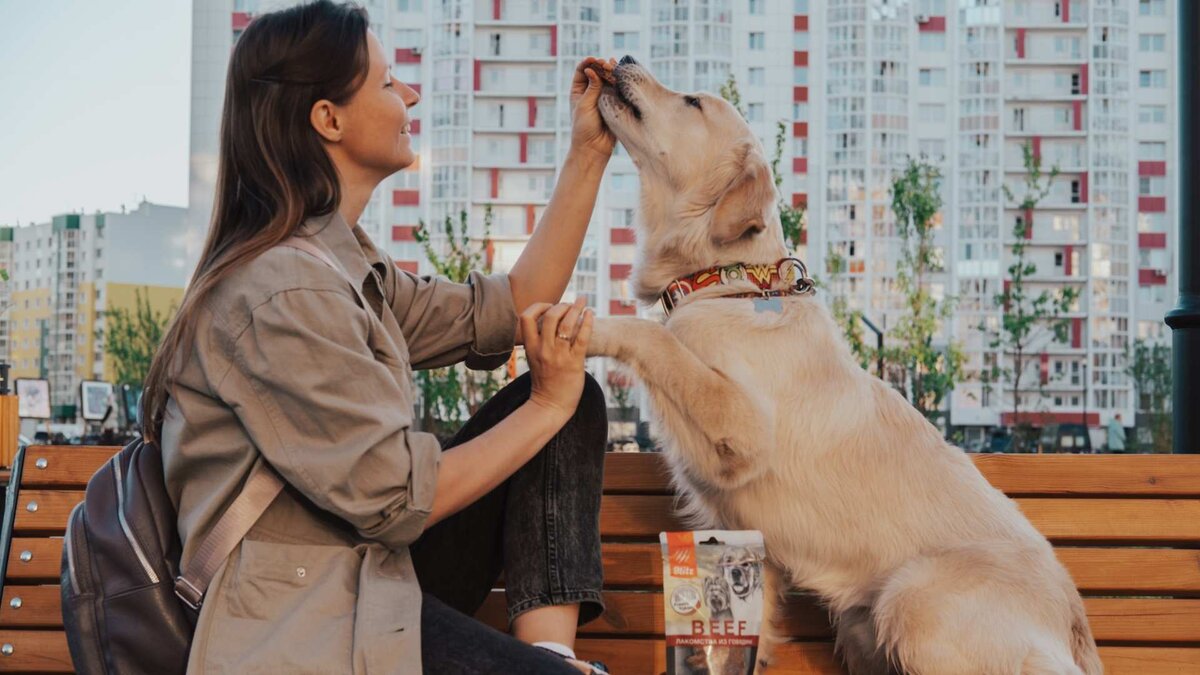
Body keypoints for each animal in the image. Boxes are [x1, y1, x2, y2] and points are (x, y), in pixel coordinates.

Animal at [585, 56, 1099, 672]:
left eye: (692, 102)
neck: (729, 283)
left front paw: (578, 324)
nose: (625, 59)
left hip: (912, 599)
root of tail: (1075, 622)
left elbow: (655, 339)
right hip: (862, 627)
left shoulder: (743, 427)